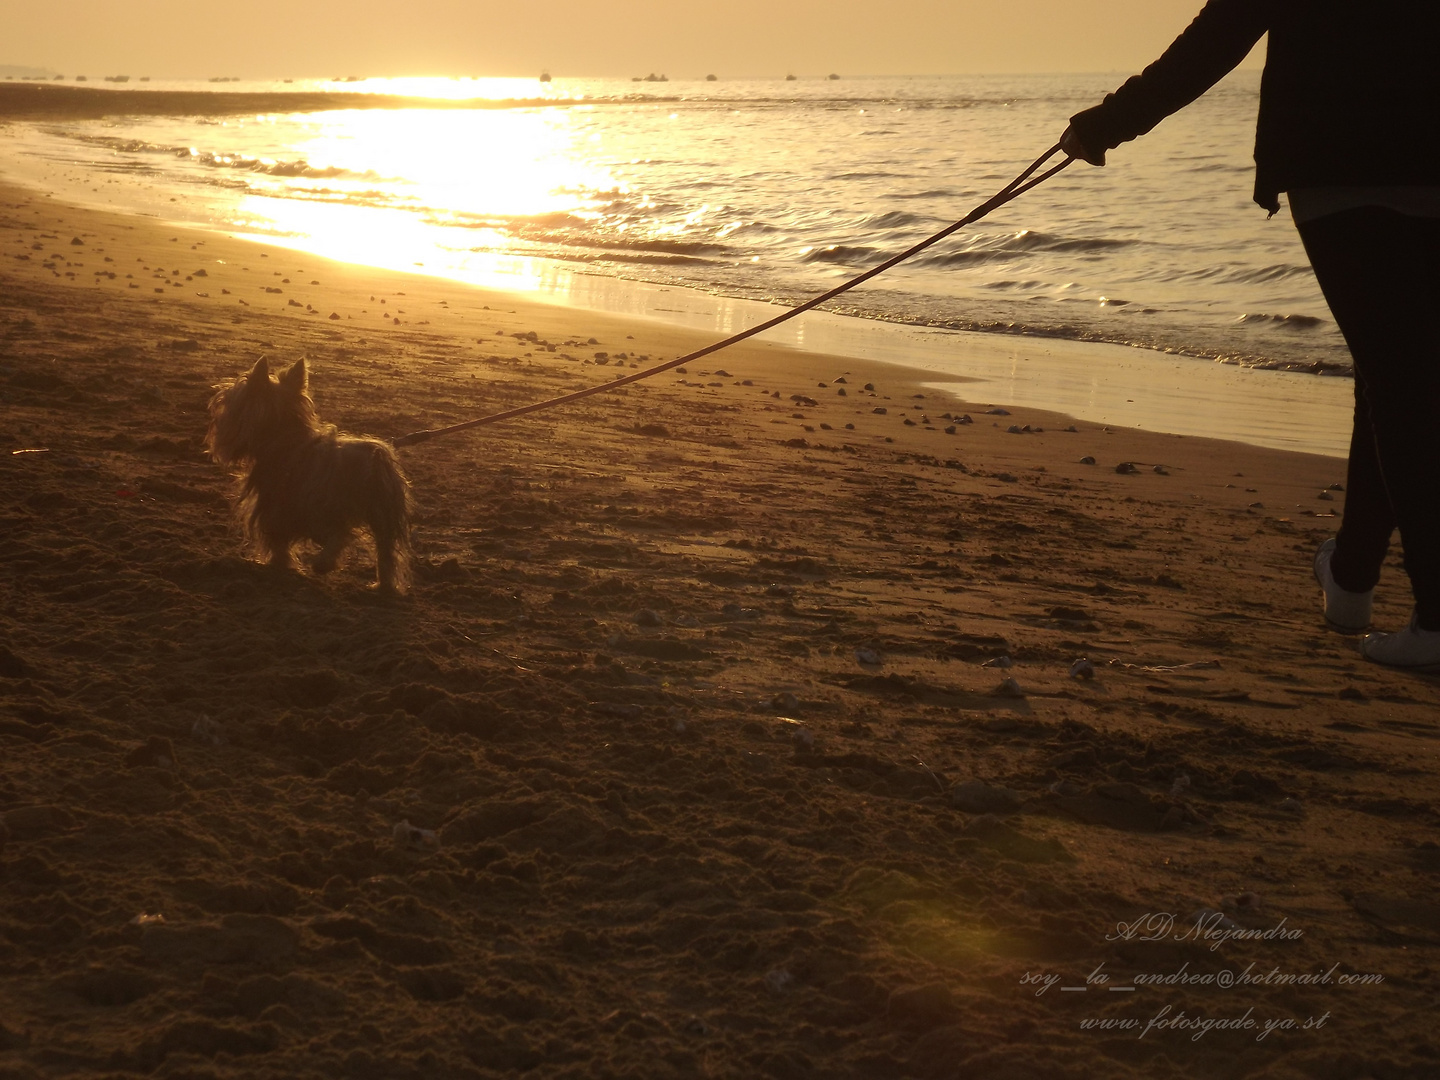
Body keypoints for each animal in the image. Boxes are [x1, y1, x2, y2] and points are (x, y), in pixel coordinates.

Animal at [207, 357, 411, 593]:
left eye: (232, 401)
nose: (217, 413)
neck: (283, 439)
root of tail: (376, 461)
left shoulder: (275, 505)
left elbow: (277, 539)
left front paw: (279, 563)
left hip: (325, 506)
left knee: (340, 533)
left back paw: (323, 563)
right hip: (379, 513)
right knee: (384, 551)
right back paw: (382, 585)